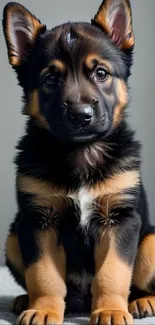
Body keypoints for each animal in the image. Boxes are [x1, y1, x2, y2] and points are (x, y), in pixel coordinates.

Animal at [2, 0, 155, 324]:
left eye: (101, 73)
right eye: (50, 79)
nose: (81, 115)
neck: (81, 151)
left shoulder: (120, 220)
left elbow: (113, 273)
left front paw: (110, 310)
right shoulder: (38, 222)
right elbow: (43, 275)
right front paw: (44, 309)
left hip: (151, 242)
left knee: (138, 282)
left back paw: (142, 300)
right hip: (13, 237)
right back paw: (26, 300)